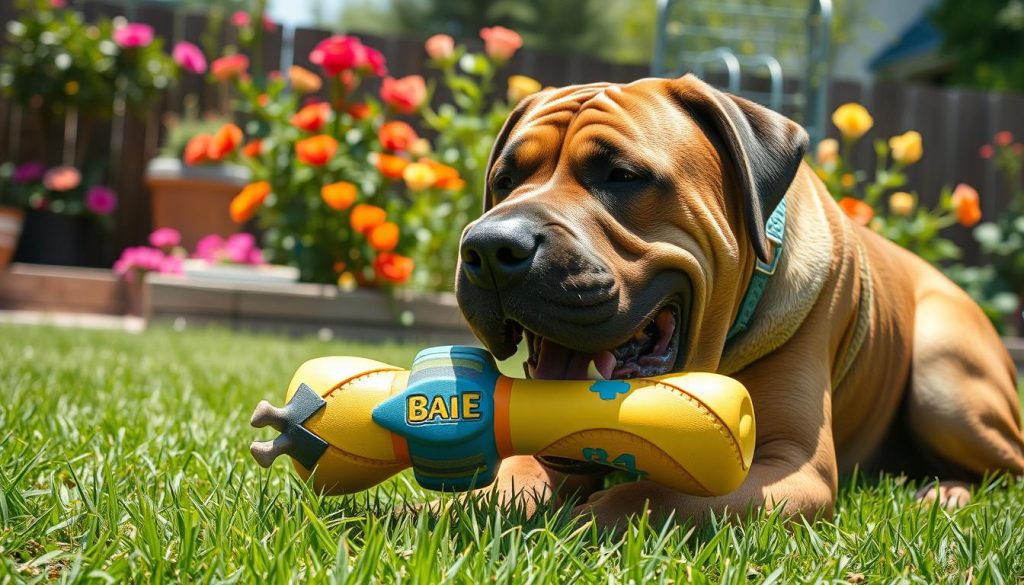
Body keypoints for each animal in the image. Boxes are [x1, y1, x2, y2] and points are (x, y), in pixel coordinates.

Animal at [454, 75, 1024, 528]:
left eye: (622, 176)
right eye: (504, 181)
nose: (489, 247)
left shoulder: (794, 466)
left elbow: (663, 496)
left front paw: (596, 515)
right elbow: (517, 470)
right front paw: (473, 501)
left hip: (945, 380)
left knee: (1007, 466)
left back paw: (947, 494)